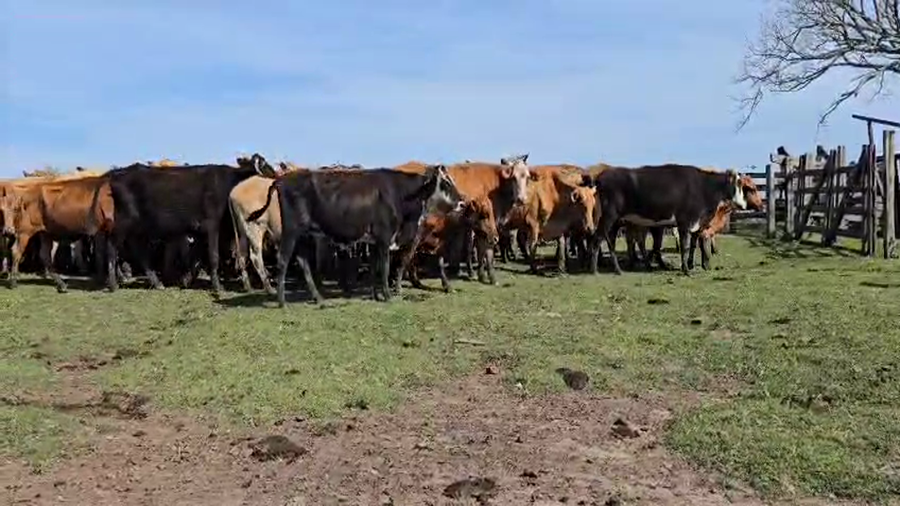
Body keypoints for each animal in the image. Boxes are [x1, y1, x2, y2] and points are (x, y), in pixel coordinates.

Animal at [106, 153, 276, 296]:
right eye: (267, 167)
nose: (277, 180)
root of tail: (117, 174)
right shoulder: (212, 225)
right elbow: (213, 256)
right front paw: (217, 287)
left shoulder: (200, 231)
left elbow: (197, 257)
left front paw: (186, 280)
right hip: (124, 223)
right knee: (112, 247)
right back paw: (114, 284)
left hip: (138, 228)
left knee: (139, 252)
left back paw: (156, 282)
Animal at [247, 164, 463, 306]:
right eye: (445, 182)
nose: (462, 202)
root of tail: (281, 179)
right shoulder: (384, 237)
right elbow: (385, 268)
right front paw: (388, 296)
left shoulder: (375, 242)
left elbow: (374, 269)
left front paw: (376, 295)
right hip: (290, 231)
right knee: (283, 261)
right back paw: (282, 302)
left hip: (302, 235)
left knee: (303, 262)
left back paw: (318, 298)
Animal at [582, 164, 748, 275]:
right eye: (738, 184)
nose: (744, 204)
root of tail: (602, 176)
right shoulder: (684, 222)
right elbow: (684, 246)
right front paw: (686, 270)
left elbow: (689, 245)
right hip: (608, 217)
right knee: (596, 239)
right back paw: (594, 270)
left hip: (616, 222)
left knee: (611, 243)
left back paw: (617, 269)